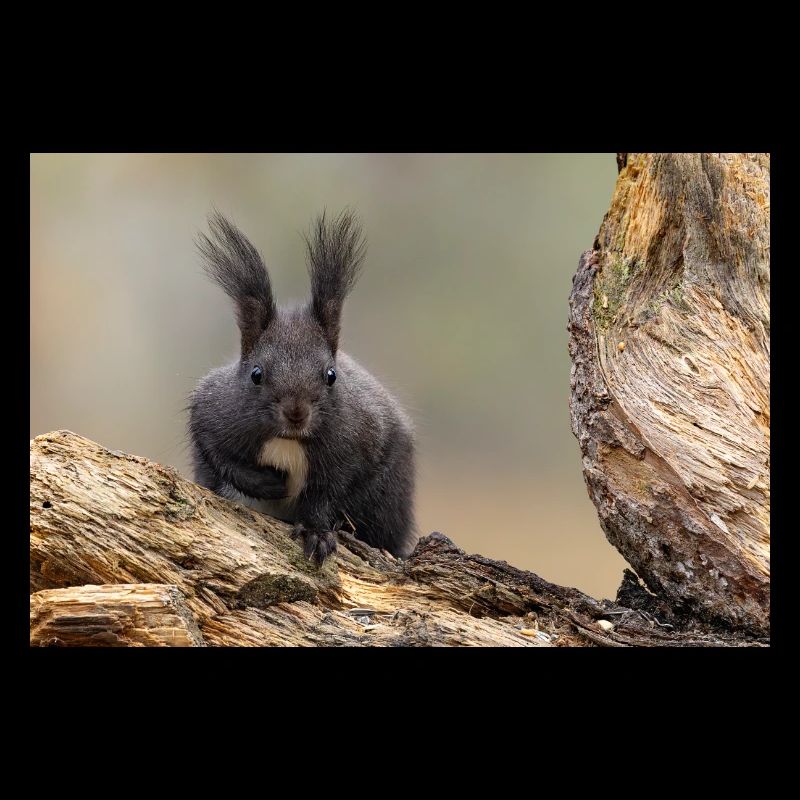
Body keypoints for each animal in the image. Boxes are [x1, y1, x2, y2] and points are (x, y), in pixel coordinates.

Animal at [188, 209, 416, 564]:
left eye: (331, 375)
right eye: (256, 374)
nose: (296, 413)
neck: (288, 440)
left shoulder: (358, 441)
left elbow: (328, 492)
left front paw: (316, 533)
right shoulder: (212, 411)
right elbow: (217, 454)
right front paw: (270, 484)